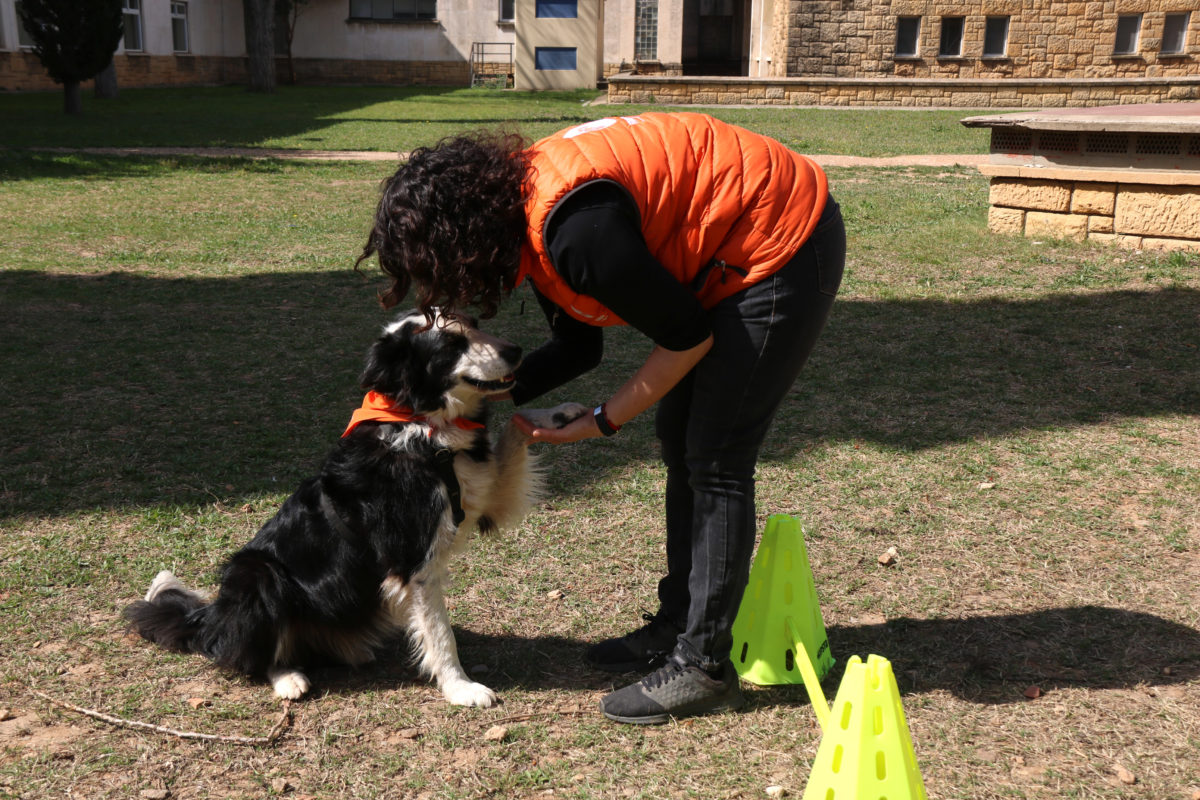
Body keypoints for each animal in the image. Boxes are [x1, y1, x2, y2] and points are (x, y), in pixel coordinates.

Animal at [123, 311, 585, 705]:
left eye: (474, 324)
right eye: (451, 343)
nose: (515, 350)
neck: (421, 422)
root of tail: (210, 619)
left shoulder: (482, 496)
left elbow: (516, 429)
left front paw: (558, 414)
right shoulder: (412, 559)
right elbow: (440, 633)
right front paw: (461, 688)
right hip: (257, 573)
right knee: (250, 654)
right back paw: (288, 678)